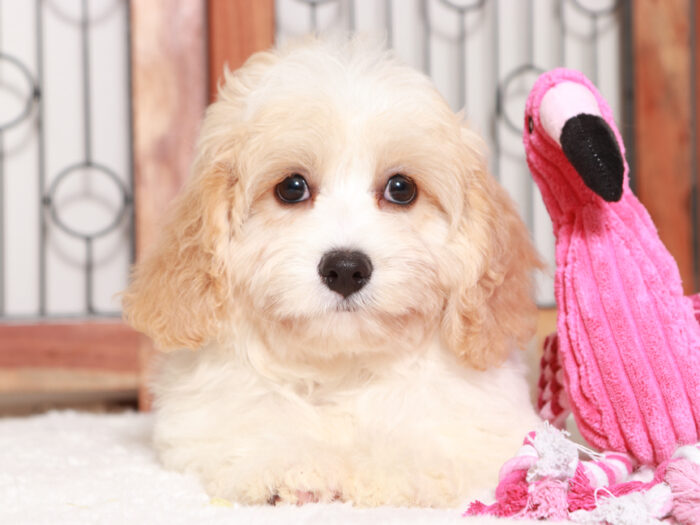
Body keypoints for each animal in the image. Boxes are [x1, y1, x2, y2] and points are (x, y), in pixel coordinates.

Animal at [123, 37, 540, 508]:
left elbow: (424, 433)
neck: (342, 367)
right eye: (292, 187)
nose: (345, 269)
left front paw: (386, 468)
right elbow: (257, 421)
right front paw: (292, 464)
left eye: (401, 189)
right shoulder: (208, 415)